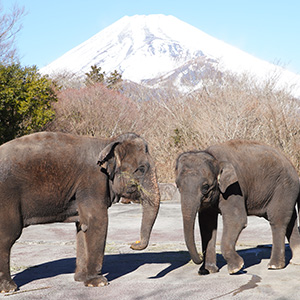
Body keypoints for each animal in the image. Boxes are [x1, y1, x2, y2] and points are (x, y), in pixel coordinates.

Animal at [0, 131, 161, 290]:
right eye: (141, 169)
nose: (133, 244)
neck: (108, 142)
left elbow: (82, 226)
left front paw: (81, 279)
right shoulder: (92, 182)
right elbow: (97, 221)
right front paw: (98, 282)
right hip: (6, 198)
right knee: (8, 235)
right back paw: (9, 288)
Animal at [176, 139, 300, 276]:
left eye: (205, 187)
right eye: (177, 186)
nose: (200, 259)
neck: (214, 158)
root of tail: (291, 164)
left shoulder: (234, 188)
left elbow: (236, 220)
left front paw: (236, 268)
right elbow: (207, 225)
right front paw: (209, 270)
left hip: (284, 187)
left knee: (277, 220)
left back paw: (274, 266)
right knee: (291, 220)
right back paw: (295, 261)